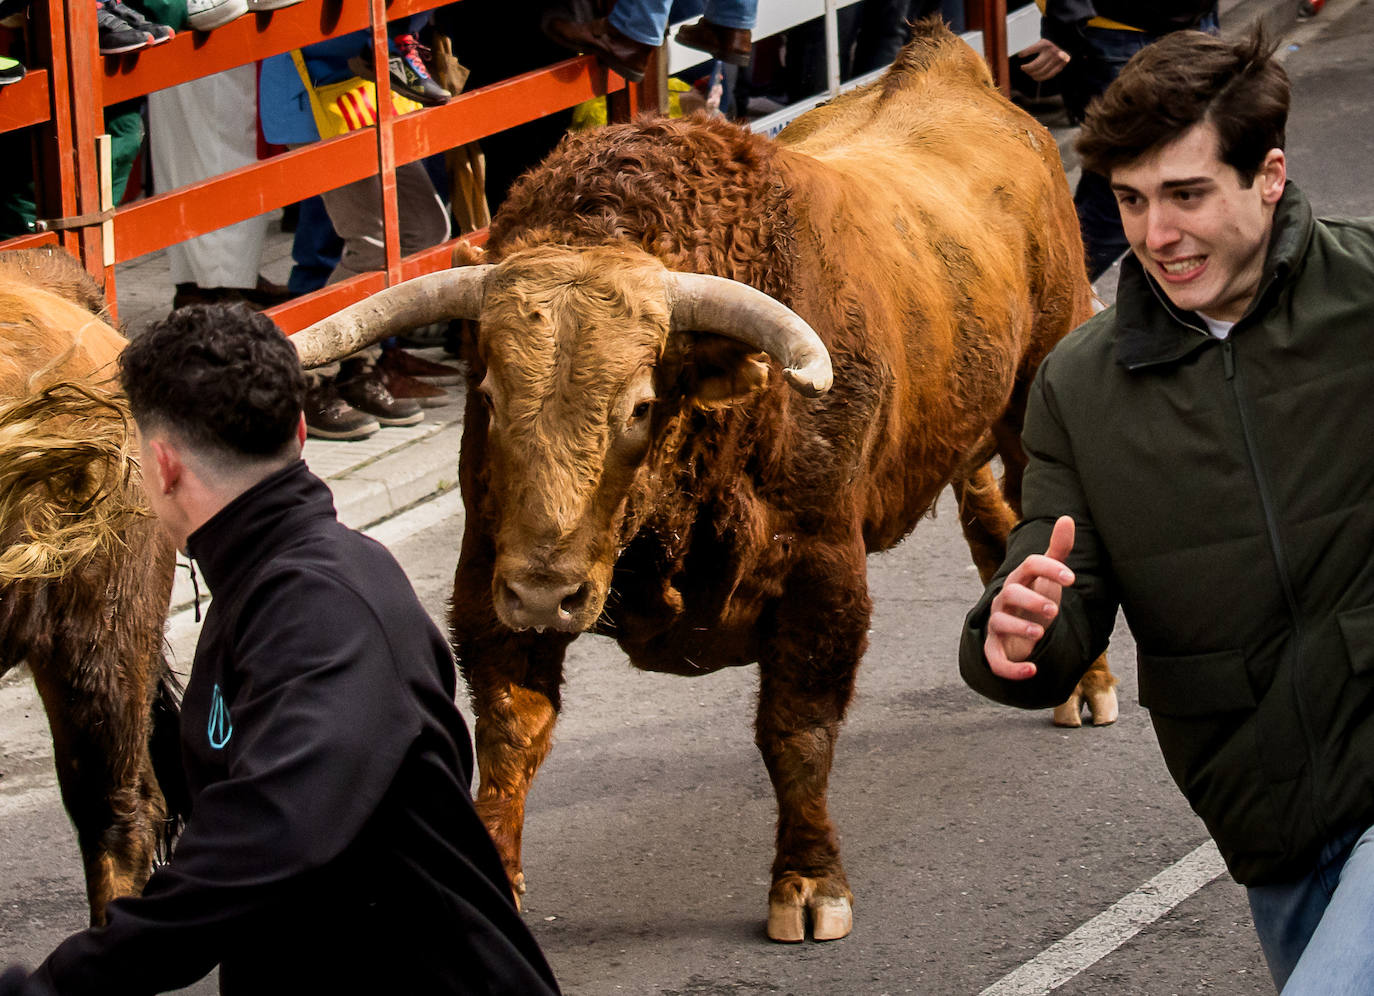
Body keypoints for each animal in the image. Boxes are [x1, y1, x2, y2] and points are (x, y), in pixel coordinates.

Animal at [289, 21, 1115, 939]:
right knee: (993, 523)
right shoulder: (489, 575)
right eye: (492, 396)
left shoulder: (822, 571)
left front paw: (808, 881)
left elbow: (797, 729)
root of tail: (957, 69)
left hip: (1038, 385)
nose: (546, 592)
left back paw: (1085, 682)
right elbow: (510, 730)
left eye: (642, 406)